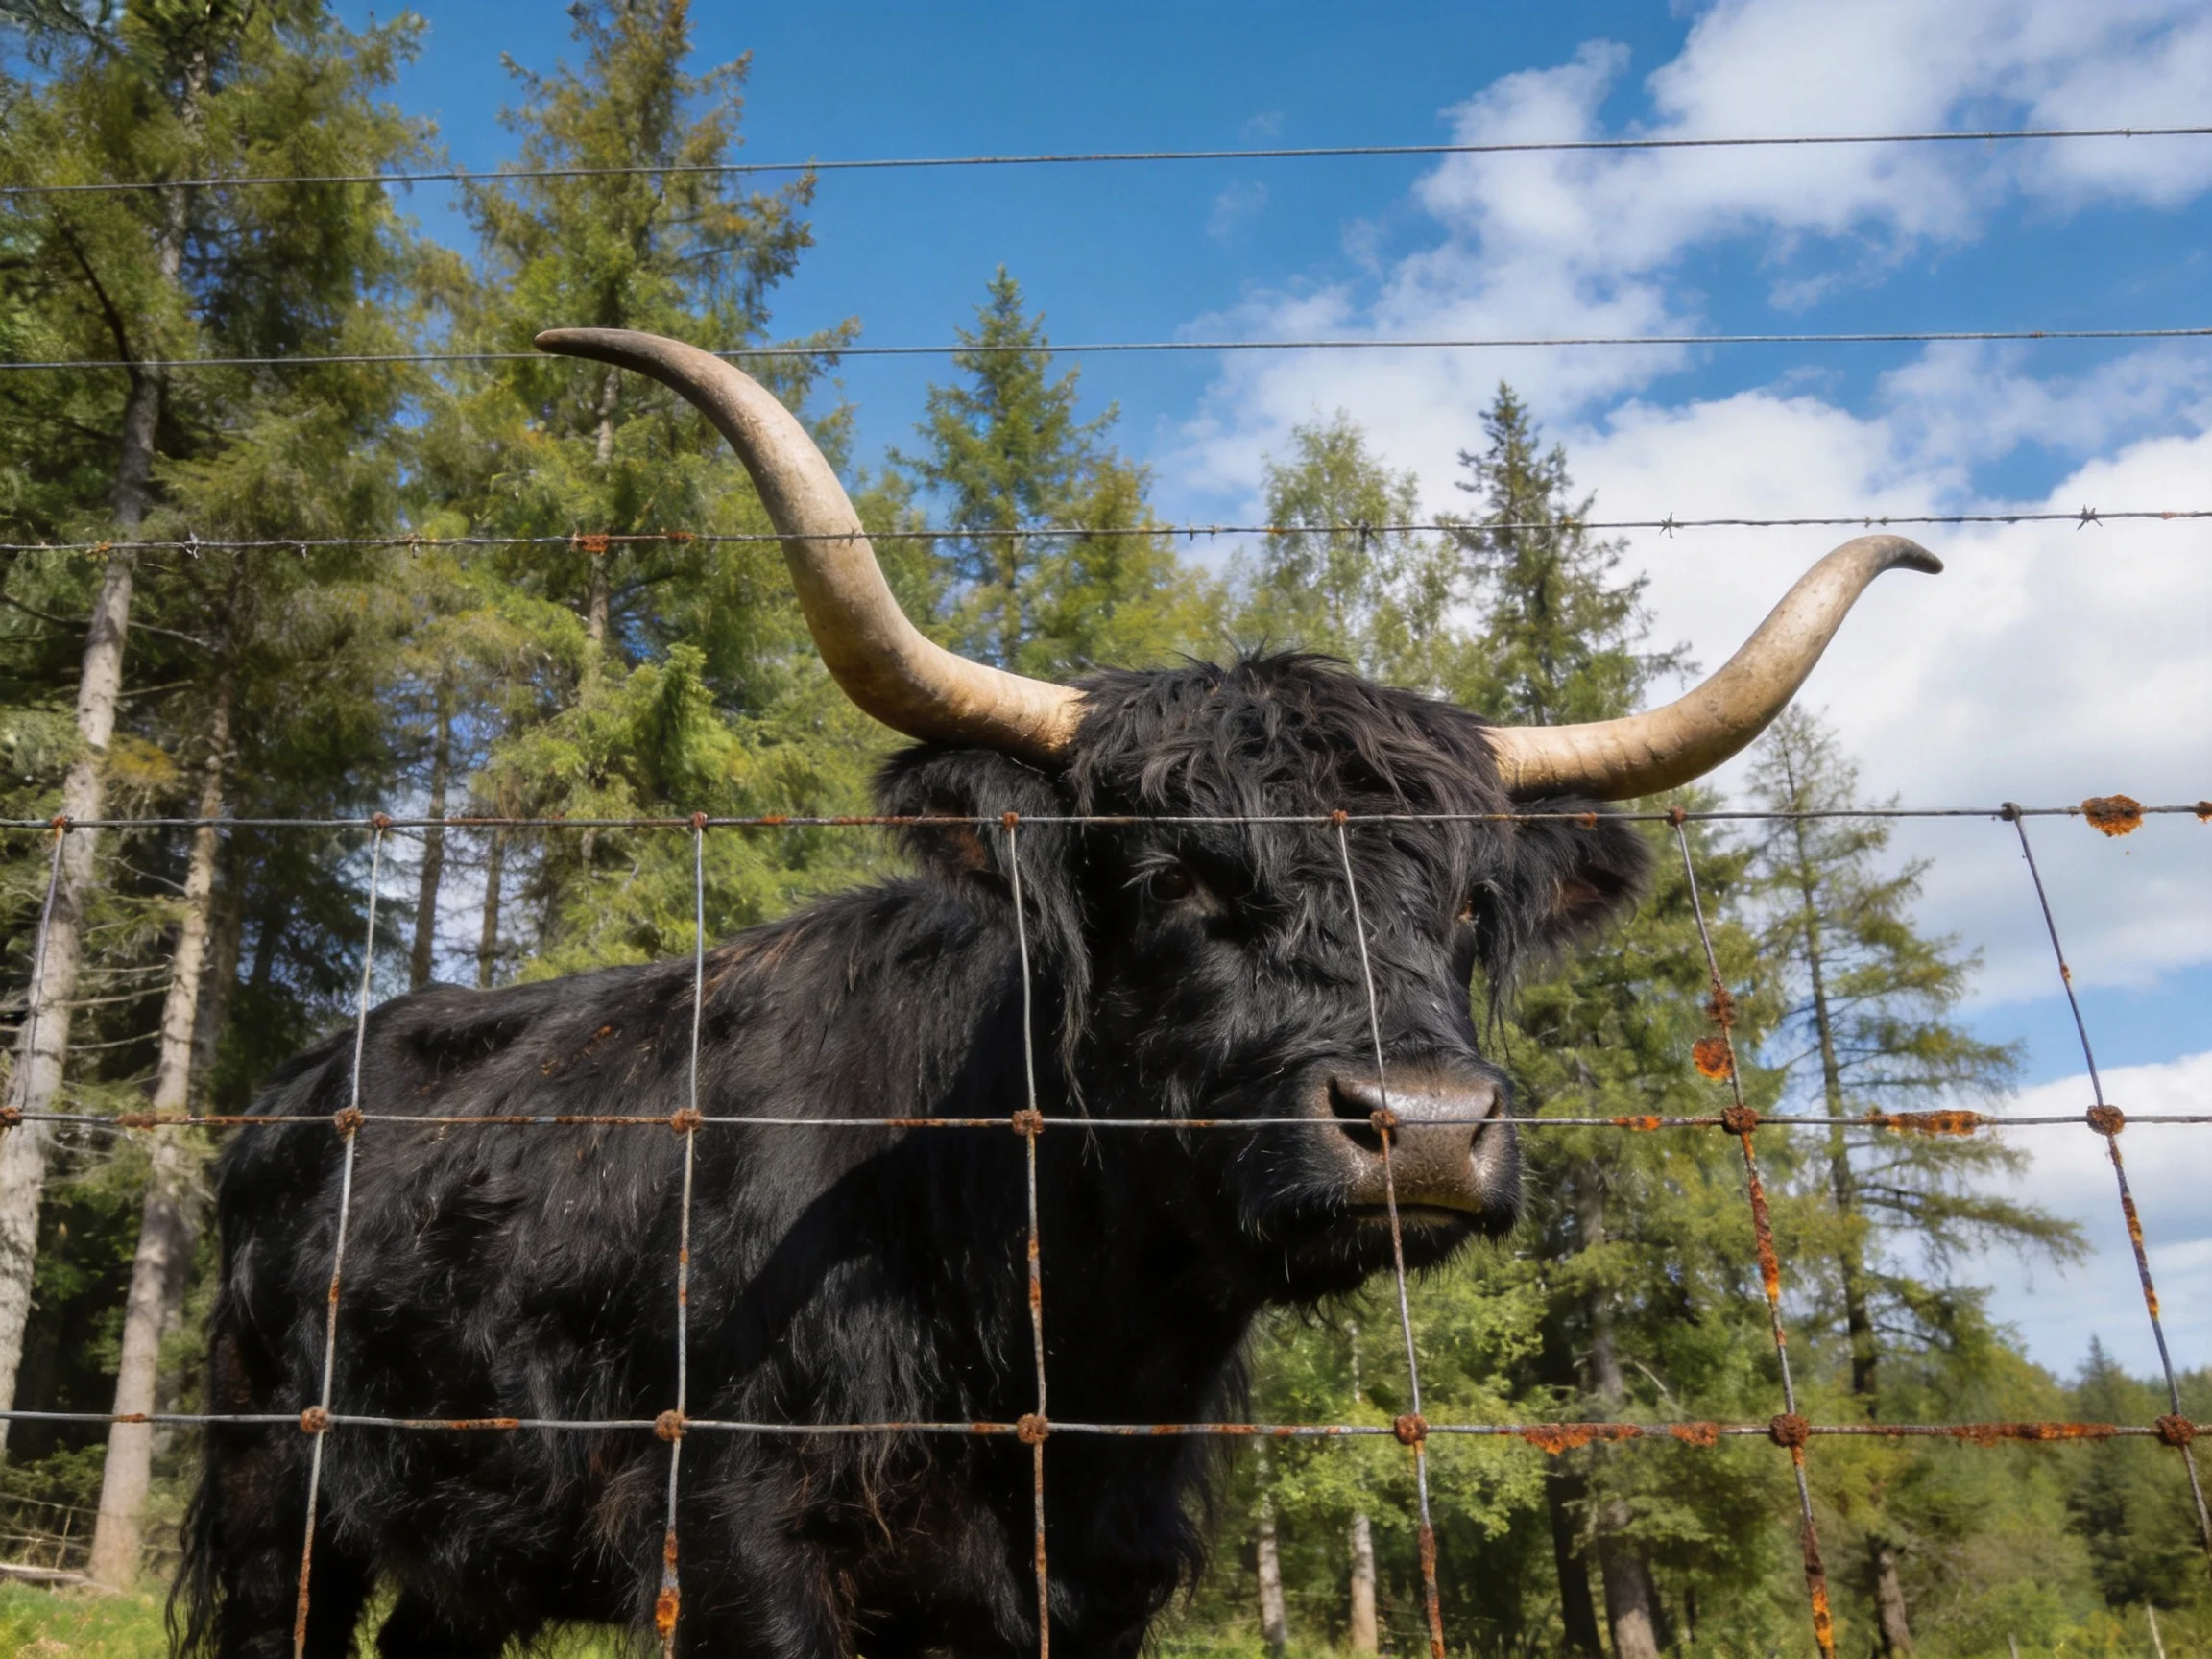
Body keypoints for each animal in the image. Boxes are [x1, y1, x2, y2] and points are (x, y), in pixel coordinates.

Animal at [180, 328, 1937, 1659]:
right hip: (278, 1487)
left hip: (471, 1541)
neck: (1067, 1343)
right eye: (1172, 881)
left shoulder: (1102, 1576)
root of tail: (297, 1084)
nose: (1425, 1126)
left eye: (1459, 907)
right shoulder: (742, 1541)